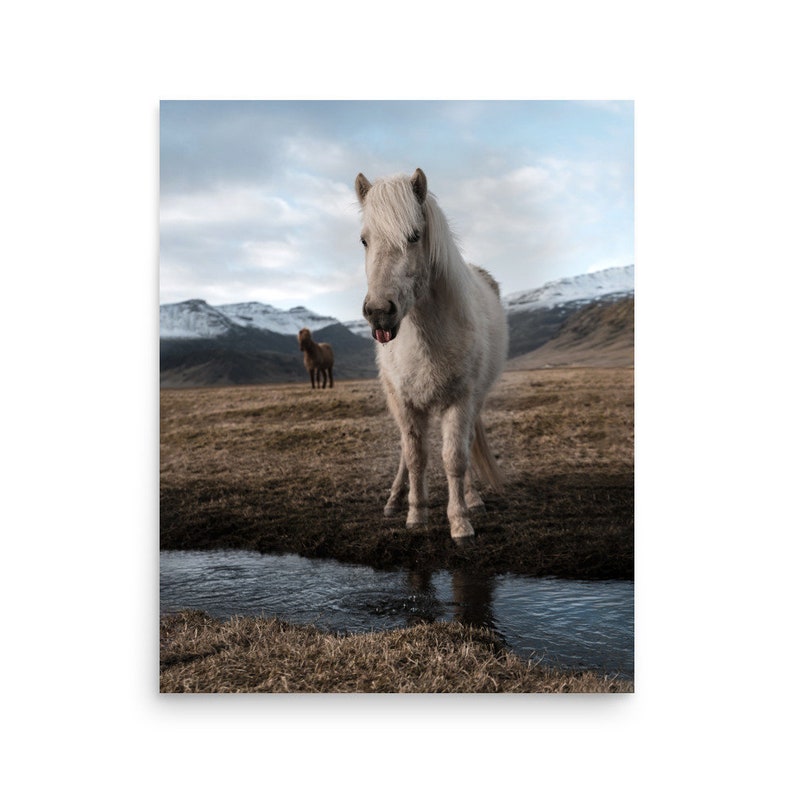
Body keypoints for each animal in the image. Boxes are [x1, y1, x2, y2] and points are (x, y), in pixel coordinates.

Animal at [355, 167, 508, 540]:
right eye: (364, 240)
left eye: (414, 236)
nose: (379, 312)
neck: (426, 337)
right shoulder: (405, 402)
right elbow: (415, 457)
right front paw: (415, 513)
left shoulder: (461, 400)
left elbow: (454, 458)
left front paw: (460, 521)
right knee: (406, 451)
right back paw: (395, 499)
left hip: (475, 400)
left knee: (465, 443)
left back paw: (472, 498)